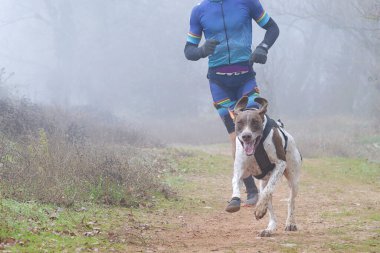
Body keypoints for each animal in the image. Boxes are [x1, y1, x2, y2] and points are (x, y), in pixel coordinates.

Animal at [230, 97, 302, 237]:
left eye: (255, 122)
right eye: (239, 123)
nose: (246, 136)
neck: (257, 147)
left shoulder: (280, 164)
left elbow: (268, 191)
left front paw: (259, 208)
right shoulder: (240, 169)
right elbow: (235, 181)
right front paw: (234, 200)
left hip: (293, 180)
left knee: (289, 201)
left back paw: (290, 223)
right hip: (263, 182)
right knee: (268, 201)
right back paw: (270, 228)